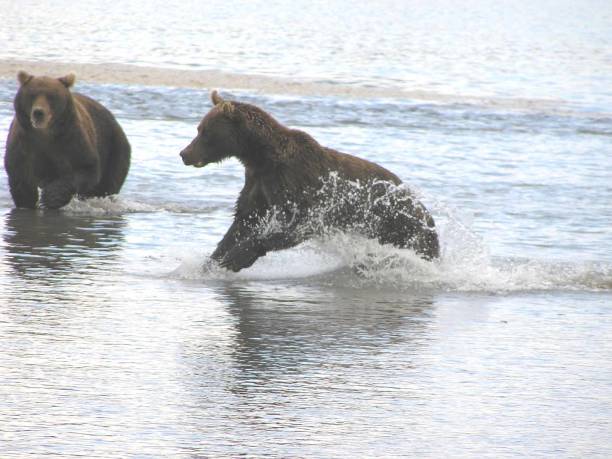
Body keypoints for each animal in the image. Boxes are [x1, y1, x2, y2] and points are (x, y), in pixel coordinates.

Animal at [4, 71, 131, 209]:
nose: (38, 112)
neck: (45, 133)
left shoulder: (71, 141)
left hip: (114, 148)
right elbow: (21, 178)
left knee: (105, 186)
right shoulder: (24, 144)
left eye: (52, 96)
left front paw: (51, 197)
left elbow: (86, 168)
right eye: (32, 94)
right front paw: (28, 203)